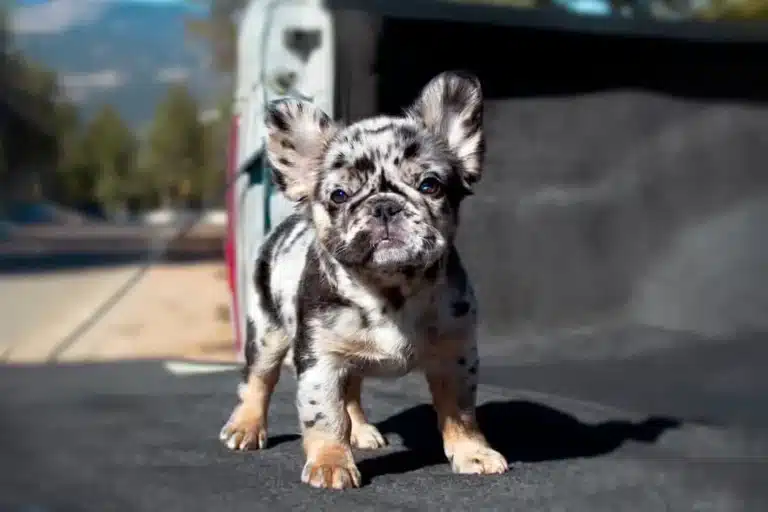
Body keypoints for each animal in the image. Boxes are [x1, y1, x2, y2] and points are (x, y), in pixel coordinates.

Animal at [219, 71, 508, 488]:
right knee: (257, 381)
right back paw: (245, 427)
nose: (385, 206)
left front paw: (473, 452)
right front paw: (330, 462)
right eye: (339, 195)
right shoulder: (320, 360)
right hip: (267, 333)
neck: (390, 289)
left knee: (351, 392)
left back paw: (361, 431)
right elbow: (325, 414)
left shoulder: (455, 356)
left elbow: (461, 413)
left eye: (430, 186)